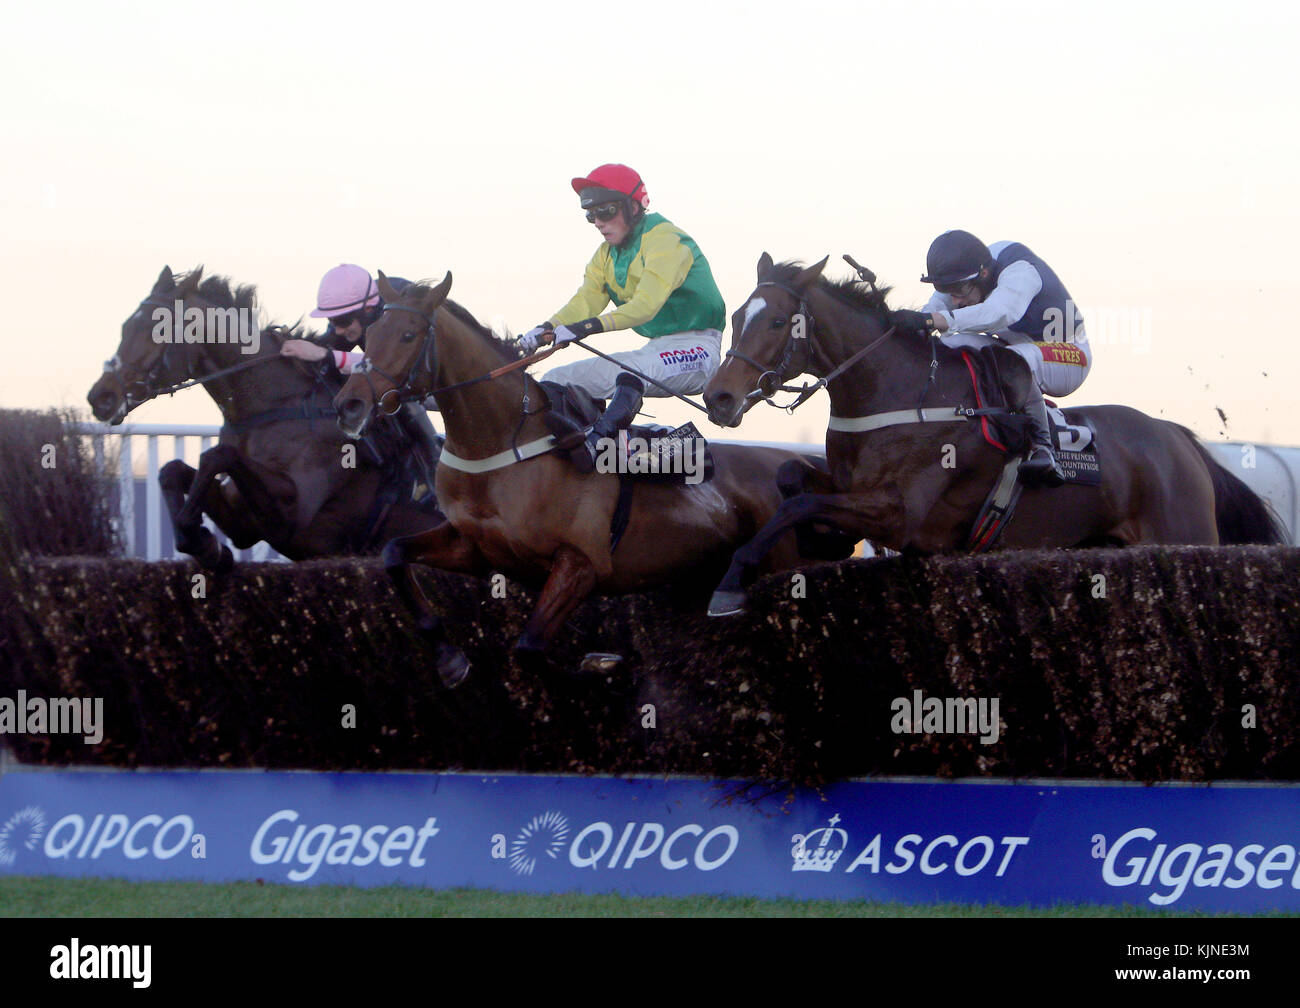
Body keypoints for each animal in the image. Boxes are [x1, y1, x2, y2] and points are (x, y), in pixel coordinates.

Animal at [87, 267, 441, 567]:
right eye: (125, 327)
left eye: (156, 331)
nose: (100, 397)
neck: (270, 408)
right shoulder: (244, 523)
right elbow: (172, 470)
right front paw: (205, 545)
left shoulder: (294, 520)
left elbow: (217, 456)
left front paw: (201, 539)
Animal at [335, 274, 821, 686]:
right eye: (369, 336)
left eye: (408, 335)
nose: (349, 404)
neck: (499, 448)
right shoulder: (472, 547)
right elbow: (394, 554)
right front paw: (449, 658)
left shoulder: (582, 563)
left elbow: (531, 647)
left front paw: (603, 666)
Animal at [702, 252, 1289, 613]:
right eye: (736, 316)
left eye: (779, 322)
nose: (719, 398)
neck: (895, 392)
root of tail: (1179, 438)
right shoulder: (848, 486)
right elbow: (790, 477)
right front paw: (823, 539)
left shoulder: (901, 512)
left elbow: (797, 505)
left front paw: (730, 582)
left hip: (1184, 533)